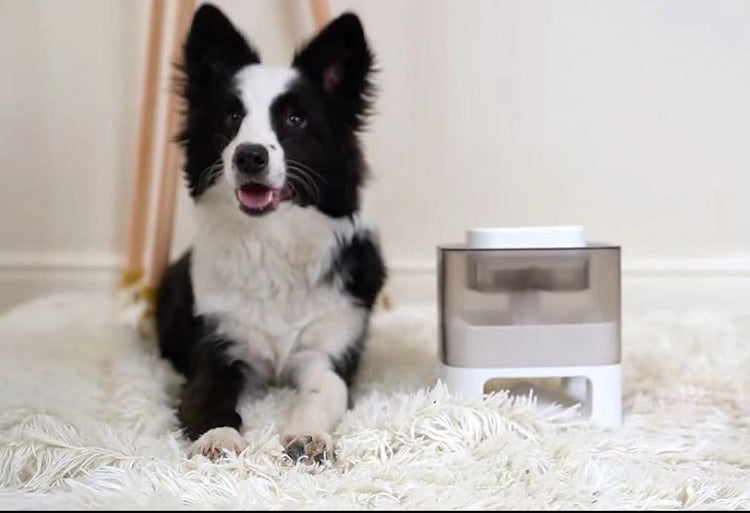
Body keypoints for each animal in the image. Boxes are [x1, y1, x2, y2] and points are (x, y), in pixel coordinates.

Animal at [155, 4, 384, 462]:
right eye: (231, 117)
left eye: (295, 119)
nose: (250, 156)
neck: (271, 242)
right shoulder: (217, 347)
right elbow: (209, 396)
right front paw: (218, 438)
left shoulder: (327, 352)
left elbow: (320, 395)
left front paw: (309, 437)